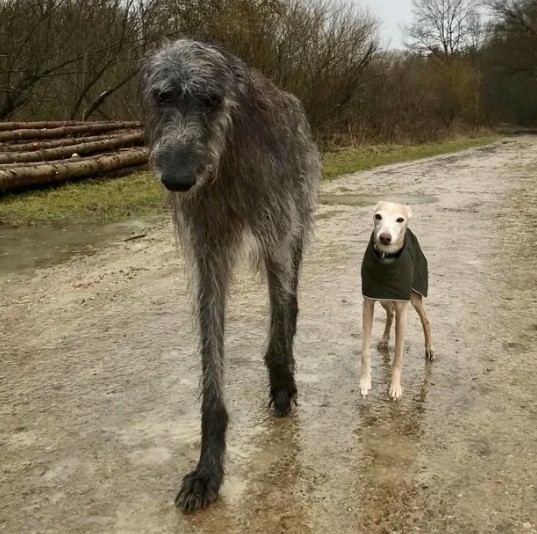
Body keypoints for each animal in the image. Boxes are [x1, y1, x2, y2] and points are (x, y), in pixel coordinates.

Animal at [140, 38, 320, 516]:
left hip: (297, 213)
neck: (225, 162)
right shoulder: (208, 251)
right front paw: (208, 468)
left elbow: (279, 313)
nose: (177, 178)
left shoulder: (275, 226)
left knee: (288, 296)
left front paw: (282, 381)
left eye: (210, 99)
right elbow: (211, 349)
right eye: (163, 96)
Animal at [358, 202, 434, 402]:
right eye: (378, 216)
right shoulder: (368, 303)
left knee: (425, 319)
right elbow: (365, 350)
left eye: (400, 219)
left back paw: (430, 349)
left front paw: (395, 388)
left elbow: (398, 356)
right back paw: (384, 339)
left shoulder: (402, 310)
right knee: (389, 313)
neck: (386, 261)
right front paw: (365, 382)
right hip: (384, 299)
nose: (385, 237)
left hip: (414, 297)